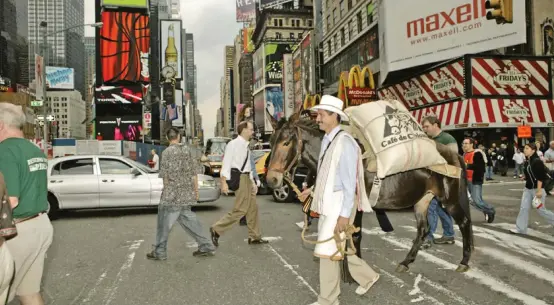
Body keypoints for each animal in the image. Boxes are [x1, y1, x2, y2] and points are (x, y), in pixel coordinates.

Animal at [266, 108, 472, 272]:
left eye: (286, 143)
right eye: (271, 141)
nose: (271, 179)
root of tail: (455, 154)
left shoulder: (355, 203)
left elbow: (355, 235)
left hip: (450, 199)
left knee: (464, 222)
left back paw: (464, 261)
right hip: (422, 200)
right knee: (423, 229)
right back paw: (406, 262)